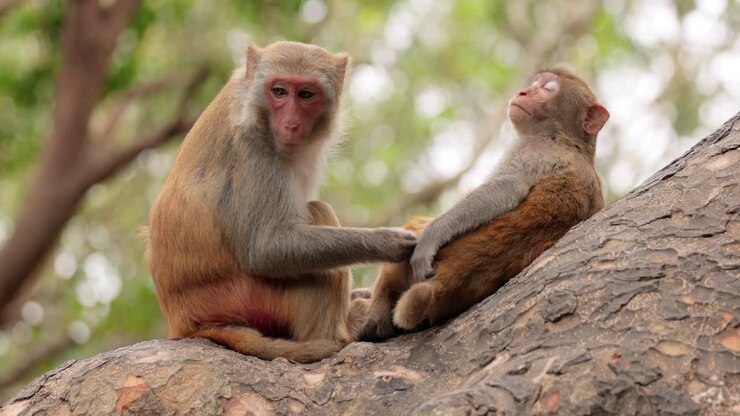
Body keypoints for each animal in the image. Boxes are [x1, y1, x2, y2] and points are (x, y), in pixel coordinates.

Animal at [145, 41, 416, 363]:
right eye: (279, 91)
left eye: (306, 94)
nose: (290, 124)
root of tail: (188, 321)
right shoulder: (253, 150)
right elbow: (265, 248)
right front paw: (388, 242)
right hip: (252, 298)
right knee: (319, 213)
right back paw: (342, 331)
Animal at [361, 67, 609, 339]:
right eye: (535, 83)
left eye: (548, 88)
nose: (523, 92)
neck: (566, 139)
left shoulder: (533, 149)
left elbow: (504, 188)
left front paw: (432, 236)